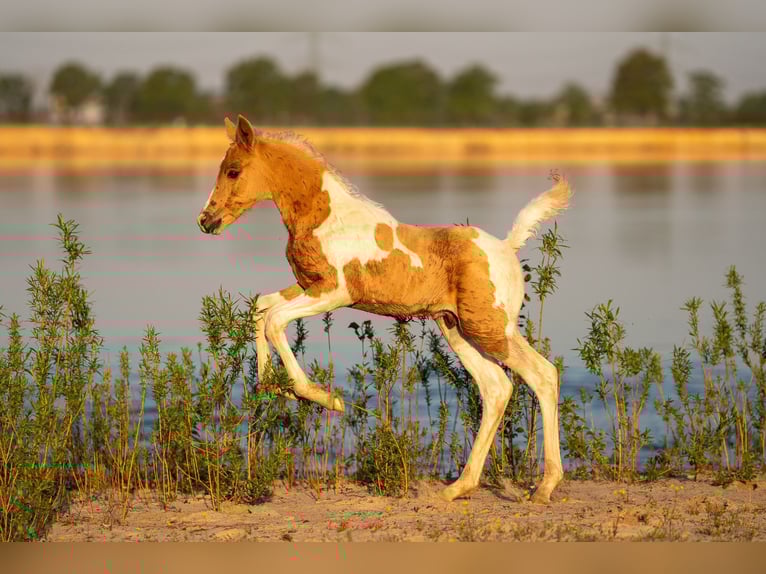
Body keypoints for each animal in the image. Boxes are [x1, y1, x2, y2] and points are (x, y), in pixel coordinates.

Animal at [197, 115, 572, 503]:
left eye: (233, 171)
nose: (206, 220)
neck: (325, 216)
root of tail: (507, 247)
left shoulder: (335, 292)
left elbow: (274, 320)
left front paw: (321, 397)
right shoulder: (307, 285)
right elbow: (261, 307)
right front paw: (272, 385)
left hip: (491, 329)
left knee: (543, 375)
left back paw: (545, 486)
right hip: (458, 329)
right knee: (497, 389)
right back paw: (459, 486)